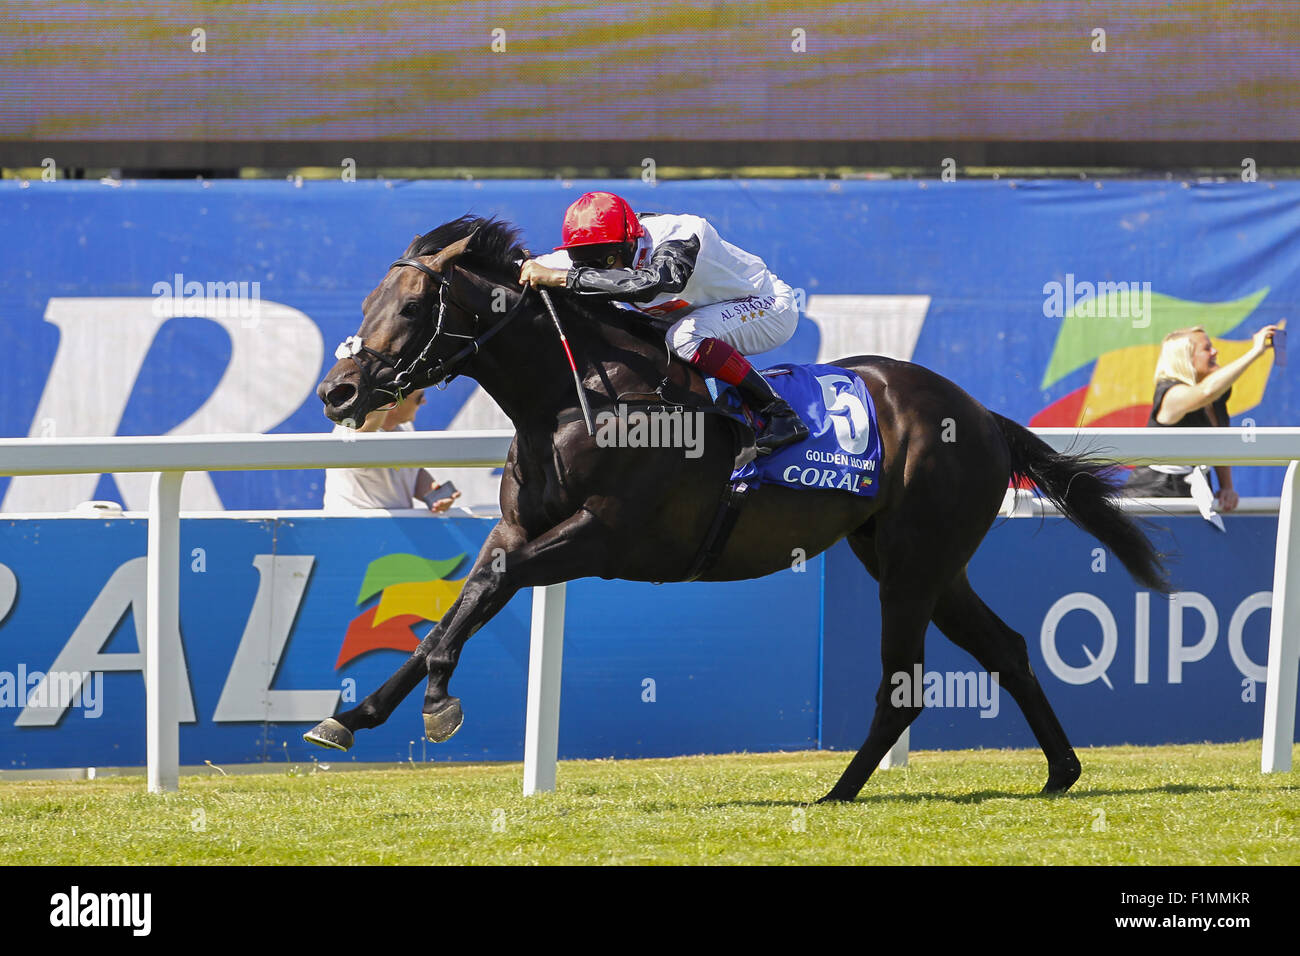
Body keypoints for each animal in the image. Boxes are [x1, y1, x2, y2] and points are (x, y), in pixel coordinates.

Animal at [306, 214, 1170, 801]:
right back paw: (1060, 771)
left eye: (411, 308)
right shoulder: (522, 525)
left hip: (915, 564)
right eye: (372, 298)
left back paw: (838, 791)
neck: (575, 401)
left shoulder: (605, 539)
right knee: (1007, 648)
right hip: (917, 559)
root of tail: (981, 414)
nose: (337, 393)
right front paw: (352, 715)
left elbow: (492, 586)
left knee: (905, 683)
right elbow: (462, 602)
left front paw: (438, 704)